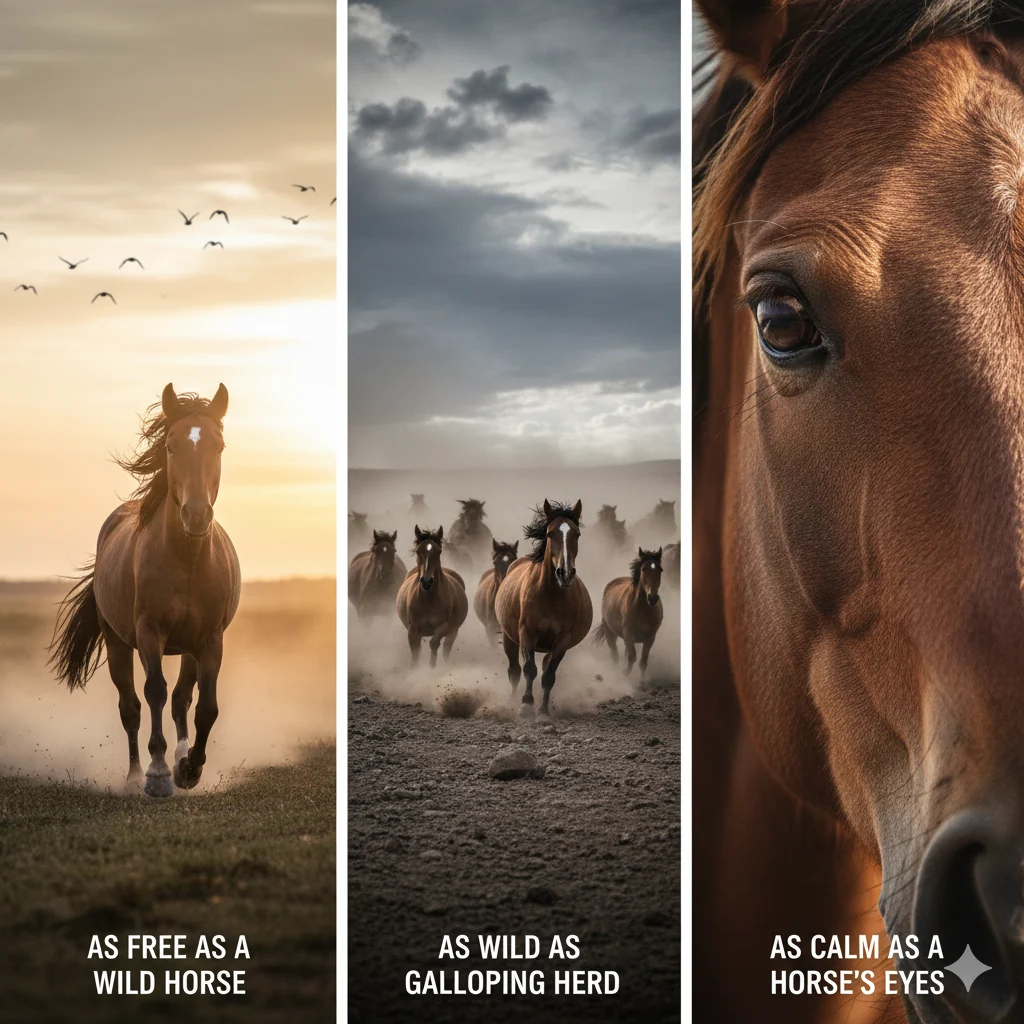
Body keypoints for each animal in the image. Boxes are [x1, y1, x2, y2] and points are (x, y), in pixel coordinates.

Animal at [49, 384, 240, 798]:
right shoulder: (149, 632)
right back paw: (136, 775)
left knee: (183, 699)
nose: (196, 515)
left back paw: (181, 756)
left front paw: (189, 768)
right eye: (170, 445)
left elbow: (207, 707)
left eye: (218, 446)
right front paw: (158, 773)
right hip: (117, 642)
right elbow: (154, 691)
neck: (187, 559)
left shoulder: (211, 639)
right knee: (131, 707)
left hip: (188, 647)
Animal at [395, 525, 468, 667]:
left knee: (446, 649)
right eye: (418, 551)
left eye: (439, 551)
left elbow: (434, 643)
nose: (427, 581)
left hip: (453, 633)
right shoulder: (413, 629)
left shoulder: (443, 627)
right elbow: (415, 652)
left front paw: (432, 667)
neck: (428, 599)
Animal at [495, 500, 592, 717]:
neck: (550, 595)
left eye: (577, 534)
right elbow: (529, 669)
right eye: (549, 533)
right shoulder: (526, 633)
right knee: (514, 670)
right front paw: (525, 705)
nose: (565, 573)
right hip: (508, 637)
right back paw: (512, 701)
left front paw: (543, 711)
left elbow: (549, 675)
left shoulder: (562, 641)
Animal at [592, 548, 663, 684]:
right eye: (643, 569)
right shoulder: (628, 636)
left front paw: (641, 682)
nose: (652, 598)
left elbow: (643, 661)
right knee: (614, 655)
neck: (643, 609)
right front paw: (625, 674)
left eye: (660, 569)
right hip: (609, 632)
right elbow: (632, 657)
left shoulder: (650, 638)